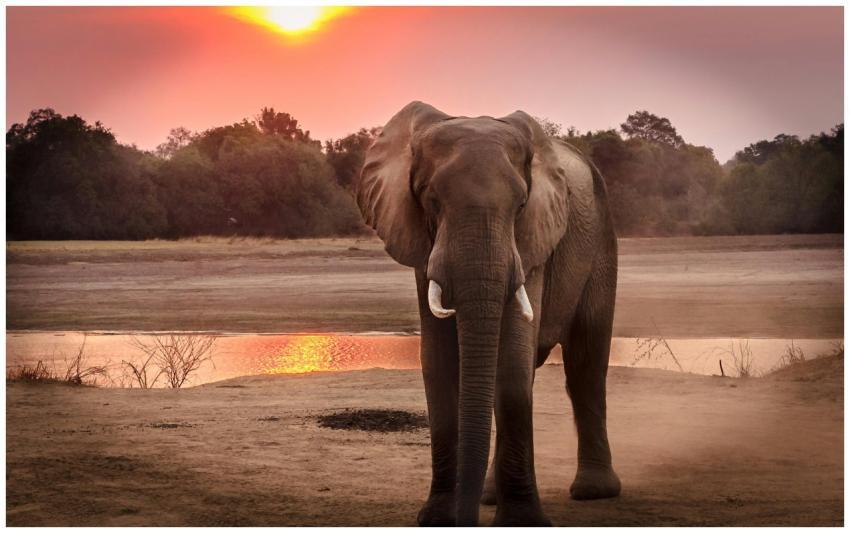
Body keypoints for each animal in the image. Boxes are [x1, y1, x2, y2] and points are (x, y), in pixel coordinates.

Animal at [355, 101, 620, 526]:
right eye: (431, 201)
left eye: (522, 205)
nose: (465, 518)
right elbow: (439, 363)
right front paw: (438, 518)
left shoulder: (532, 241)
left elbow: (511, 362)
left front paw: (522, 522)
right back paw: (491, 496)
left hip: (601, 242)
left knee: (586, 364)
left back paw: (593, 492)